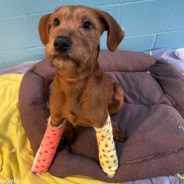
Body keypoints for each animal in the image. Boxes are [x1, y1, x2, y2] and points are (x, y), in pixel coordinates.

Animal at [39, 5, 126, 143]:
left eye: (87, 24)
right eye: (56, 21)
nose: (61, 42)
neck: (74, 80)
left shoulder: (101, 119)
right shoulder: (55, 117)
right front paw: (67, 130)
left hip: (119, 92)